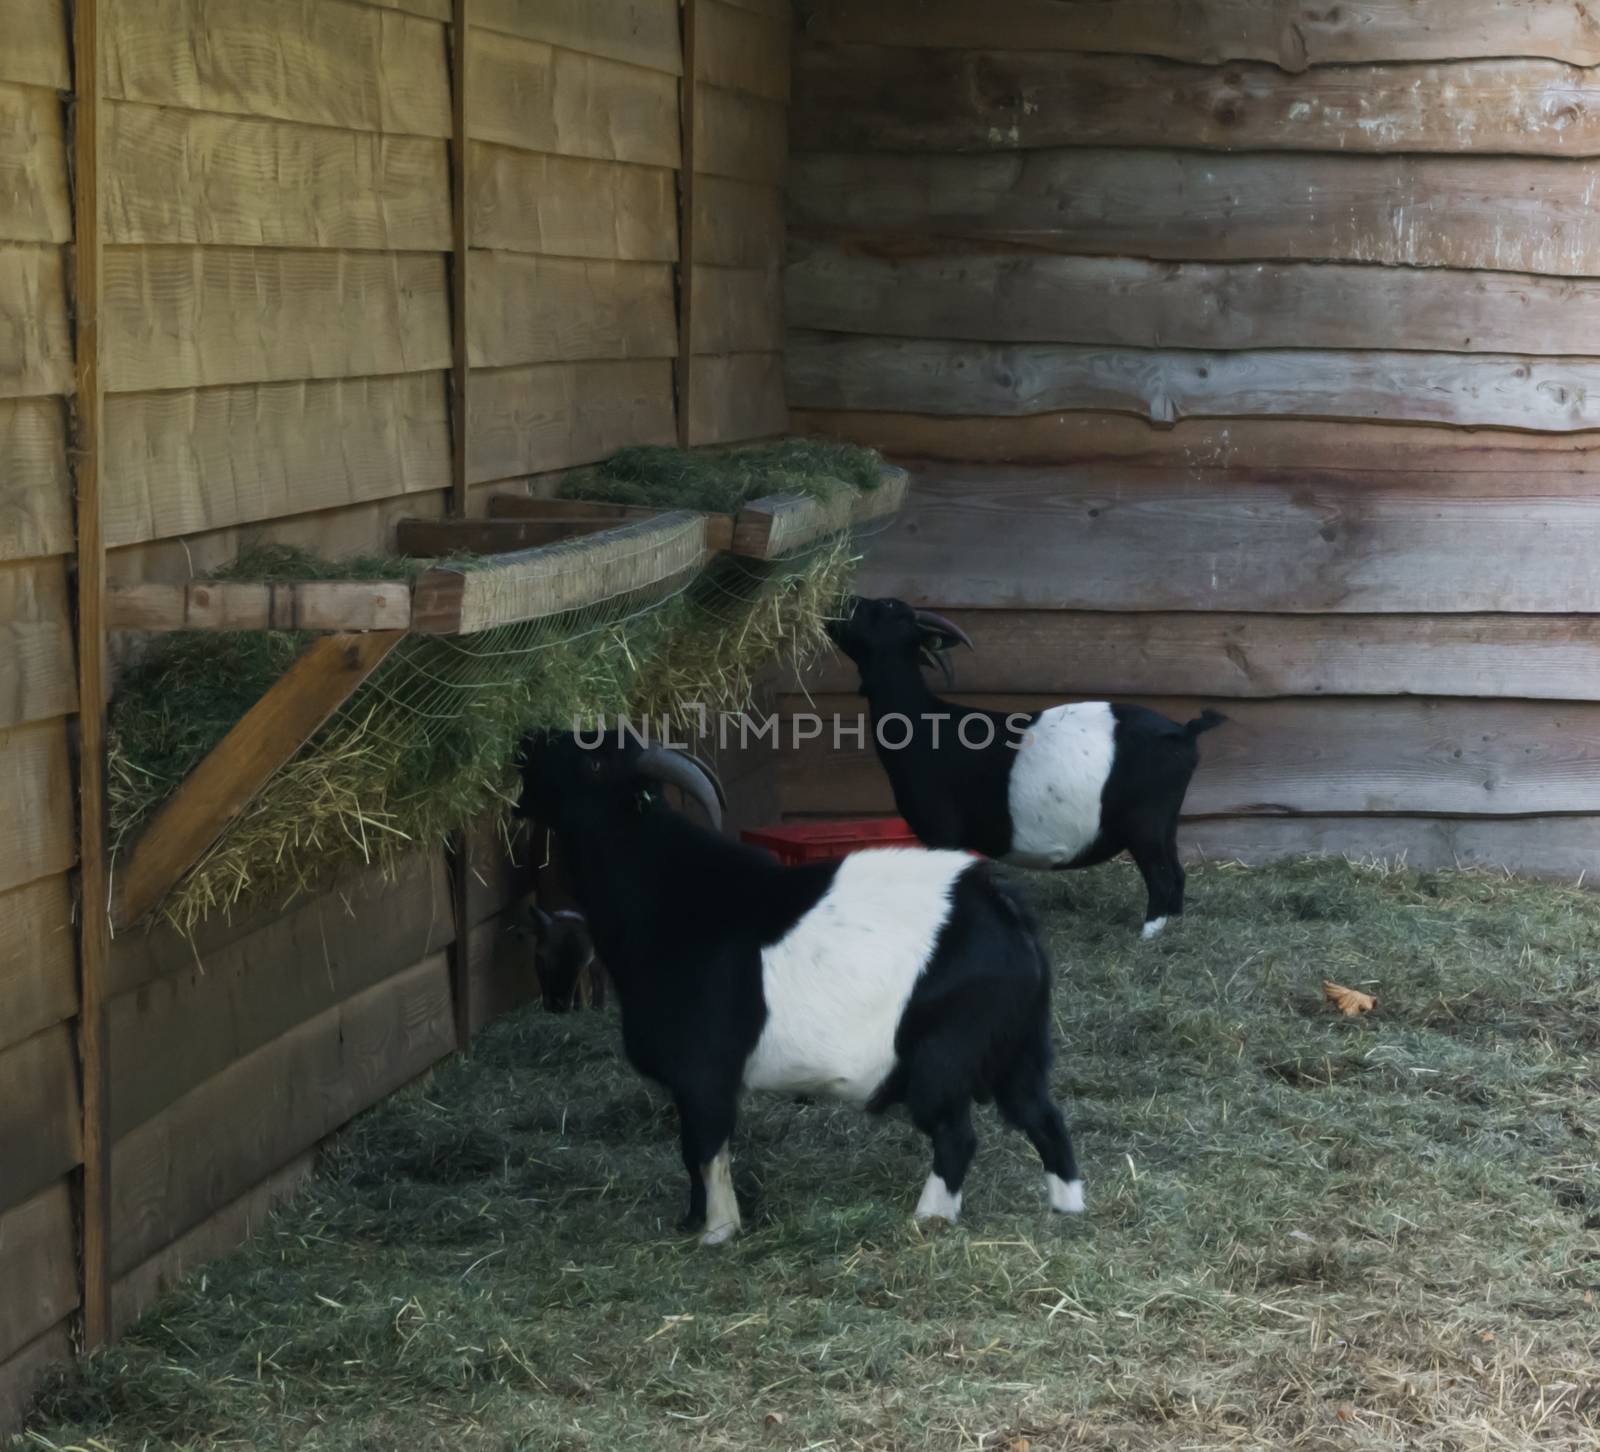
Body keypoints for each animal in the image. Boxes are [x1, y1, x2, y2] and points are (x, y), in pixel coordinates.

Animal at [515, 738, 1088, 1247]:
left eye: (594, 762)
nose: (528, 742)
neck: (667, 894)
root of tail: (1004, 910)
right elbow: (691, 1153)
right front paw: (690, 1222)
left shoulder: (704, 1074)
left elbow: (705, 1149)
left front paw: (717, 1232)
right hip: (1017, 1048)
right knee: (1042, 1115)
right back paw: (1067, 1206)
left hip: (943, 1056)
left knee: (955, 1133)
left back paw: (927, 1218)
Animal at [825, 591, 1222, 940]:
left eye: (885, 608)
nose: (840, 603)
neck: (922, 721)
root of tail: (1184, 732)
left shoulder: (942, 831)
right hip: (1166, 820)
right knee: (1177, 872)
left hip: (1145, 822)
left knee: (1161, 875)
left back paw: (1149, 935)